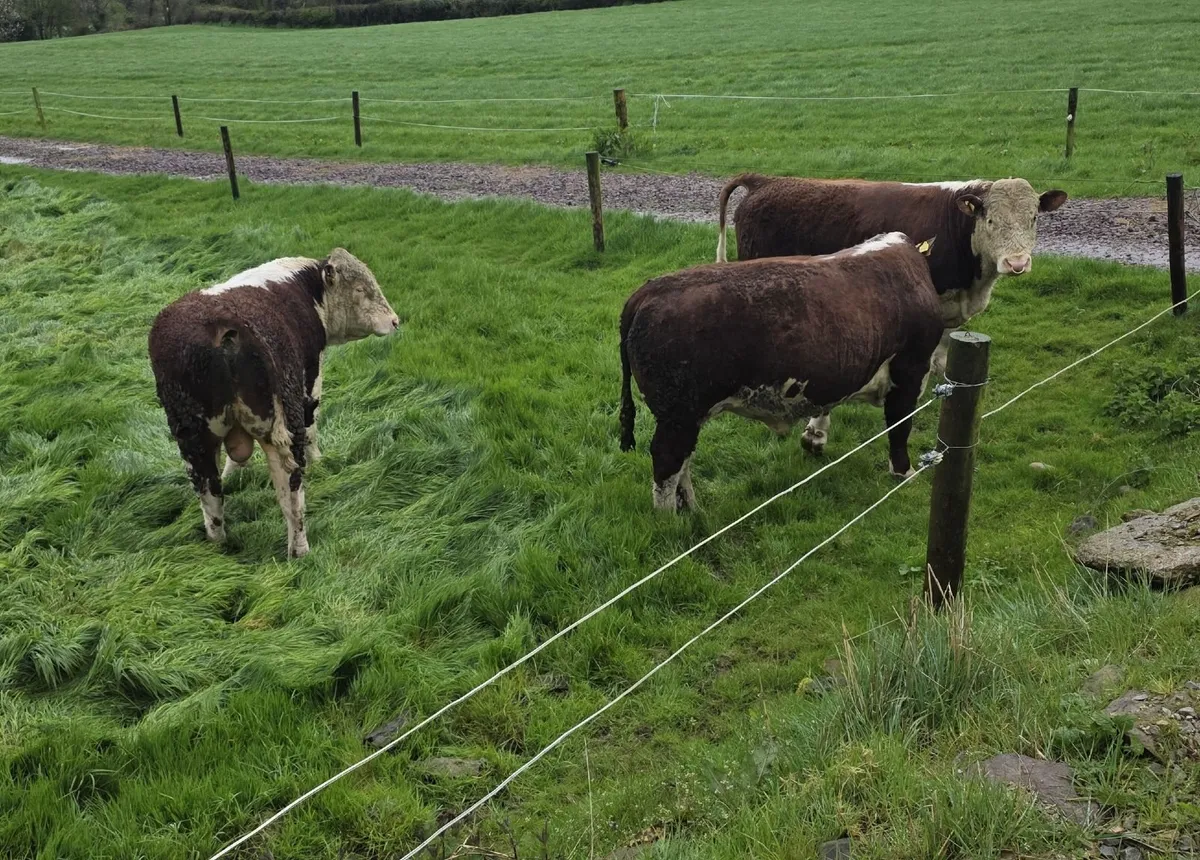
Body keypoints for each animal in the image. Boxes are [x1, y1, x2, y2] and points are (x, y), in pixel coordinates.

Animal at [148, 248, 400, 558]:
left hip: (192, 435)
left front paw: (235, 475)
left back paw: (218, 544)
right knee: (291, 488)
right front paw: (320, 462)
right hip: (284, 421)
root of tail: (221, 327)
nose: (395, 321)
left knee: (209, 491)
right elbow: (312, 426)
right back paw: (300, 551)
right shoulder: (311, 377)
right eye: (361, 289)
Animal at [619, 232, 943, 512]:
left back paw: (692, 510)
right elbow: (900, 425)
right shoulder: (911, 369)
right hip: (679, 414)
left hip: (686, 415)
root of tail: (650, 289)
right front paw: (903, 473)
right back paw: (670, 520)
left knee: (683, 461)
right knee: (667, 460)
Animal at [715, 175, 1067, 457]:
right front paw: (816, 432)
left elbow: (941, 358)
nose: (1017, 263)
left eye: (1034, 218)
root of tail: (766, 180)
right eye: (991, 220)